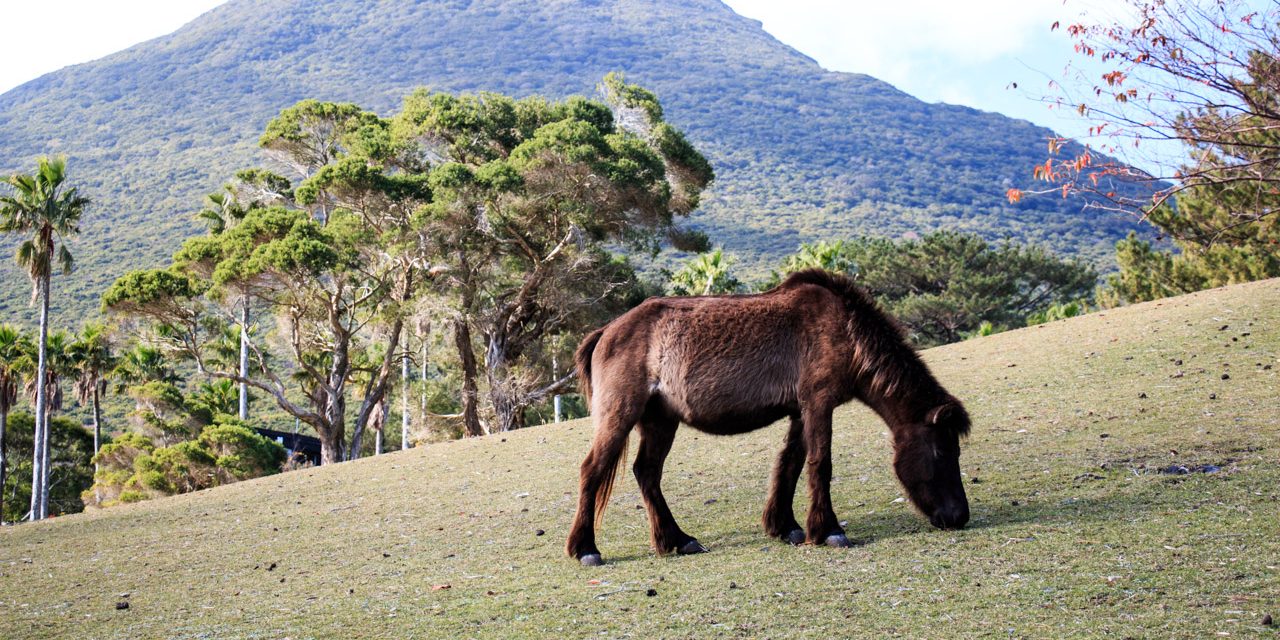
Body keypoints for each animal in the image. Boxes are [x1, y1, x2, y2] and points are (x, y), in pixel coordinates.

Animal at [565, 269, 971, 566]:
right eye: (941, 452)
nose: (959, 516)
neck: (845, 327)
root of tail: (606, 331)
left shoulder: (800, 411)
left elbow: (790, 463)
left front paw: (785, 526)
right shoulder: (818, 403)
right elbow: (820, 463)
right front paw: (829, 530)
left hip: (661, 420)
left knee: (647, 473)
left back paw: (678, 540)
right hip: (620, 416)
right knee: (592, 471)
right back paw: (587, 550)